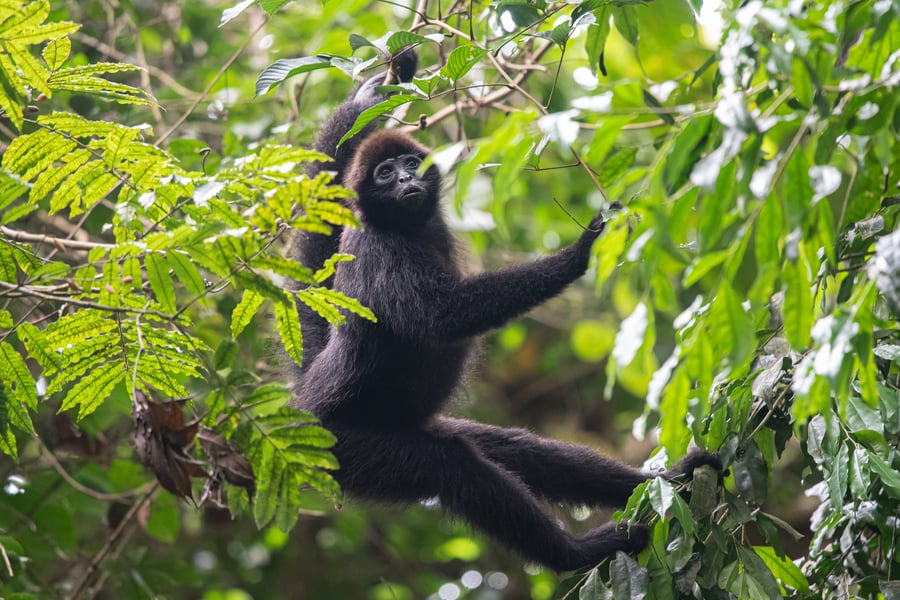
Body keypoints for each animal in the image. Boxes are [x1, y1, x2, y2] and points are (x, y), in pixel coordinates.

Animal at [292, 51, 720, 572]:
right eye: (385, 174)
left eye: (412, 164)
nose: (409, 179)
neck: (408, 230)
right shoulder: (376, 251)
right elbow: (445, 315)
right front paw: (579, 254)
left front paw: (373, 93)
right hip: (347, 448)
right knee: (453, 464)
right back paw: (575, 553)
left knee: (515, 448)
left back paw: (666, 483)